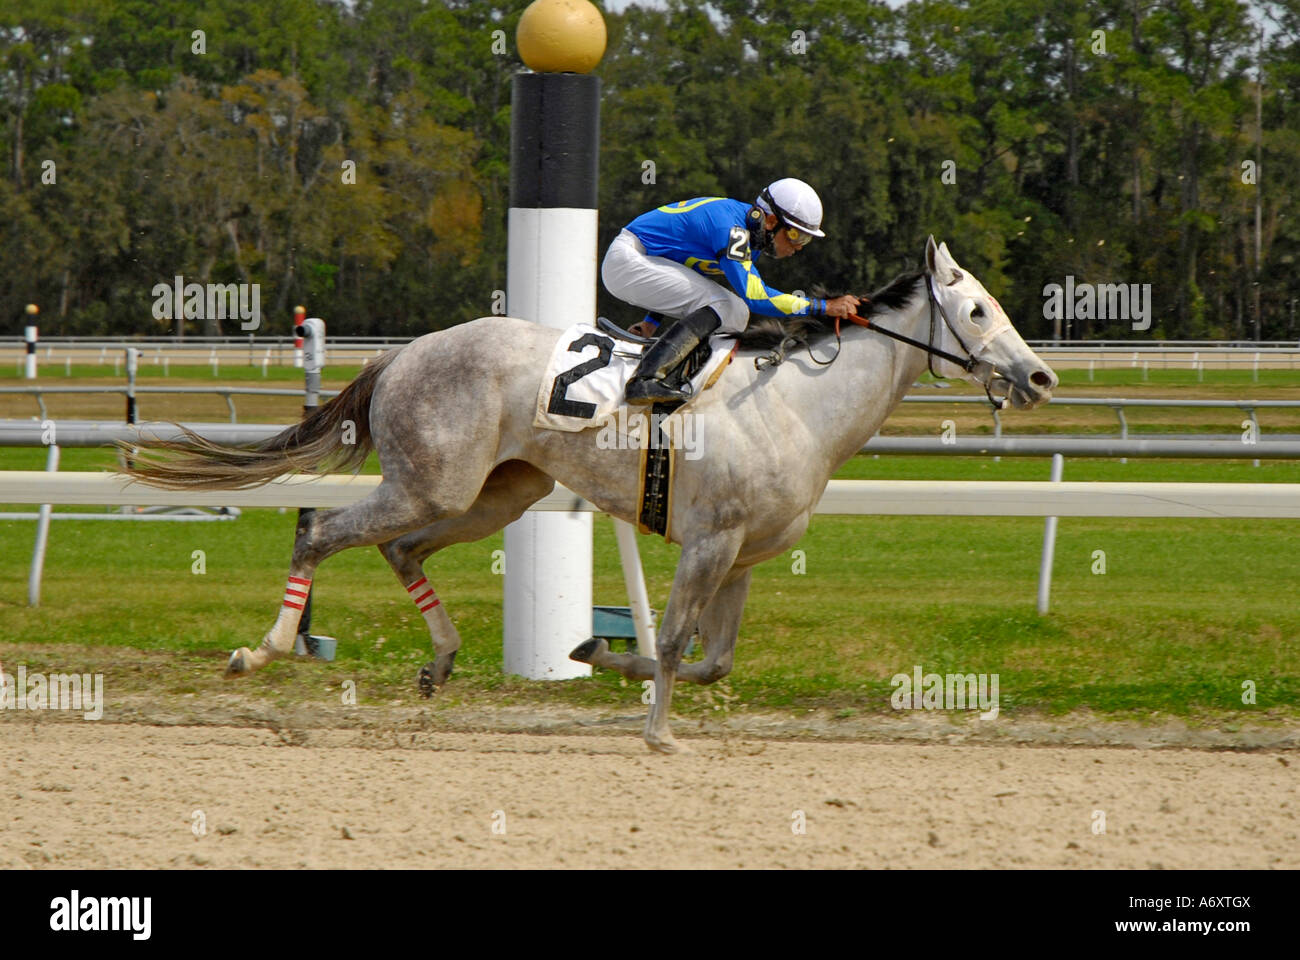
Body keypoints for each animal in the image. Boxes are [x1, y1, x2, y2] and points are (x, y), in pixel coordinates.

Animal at [129, 235, 1055, 749]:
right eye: (977, 310)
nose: (1041, 375)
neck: (796, 402)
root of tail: (402, 354)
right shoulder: (710, 542)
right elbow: (678, 644)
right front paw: (658, 733)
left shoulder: (744, 557)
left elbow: (713, 661)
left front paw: (596, 654)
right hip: (434, 483)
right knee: (321, 530)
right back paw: (263, 651)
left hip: (492, 493)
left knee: (400, 548)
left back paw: (439, 660)